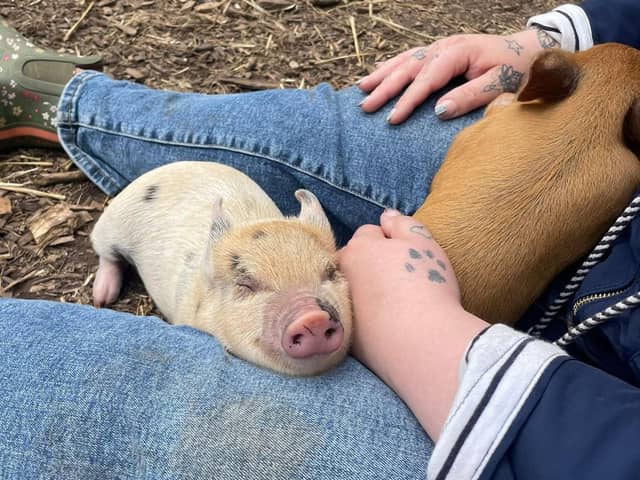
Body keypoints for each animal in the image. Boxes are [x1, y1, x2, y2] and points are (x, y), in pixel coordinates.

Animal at [90, 161, 352, 376]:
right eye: (245, 284)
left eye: (330, 272)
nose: (314, 317)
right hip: (112, 225)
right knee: (105, 253)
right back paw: (102, 298)